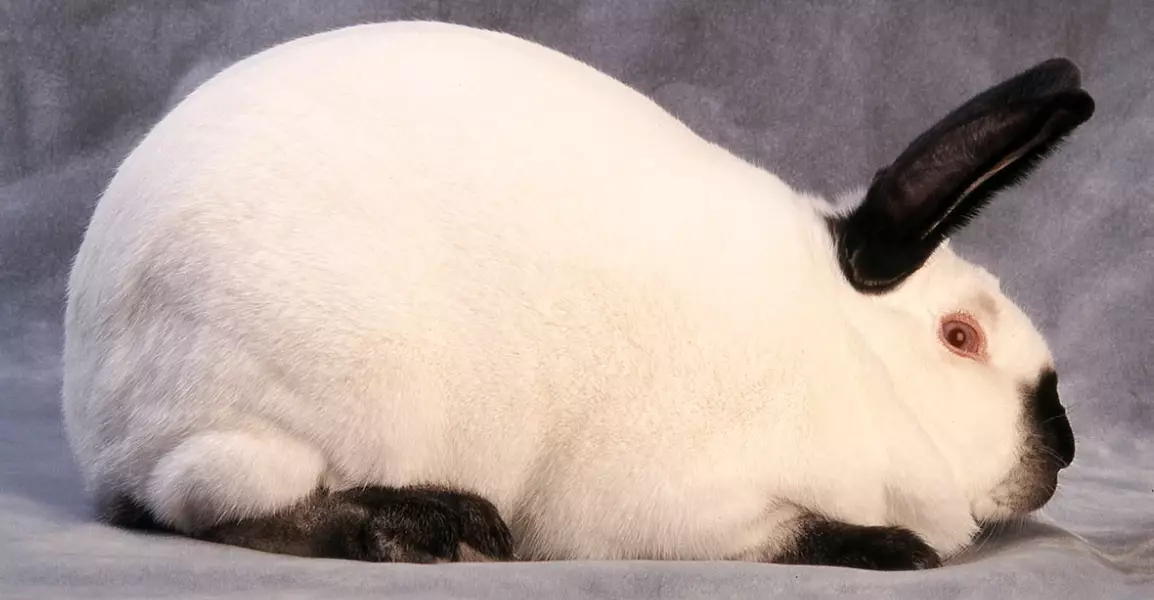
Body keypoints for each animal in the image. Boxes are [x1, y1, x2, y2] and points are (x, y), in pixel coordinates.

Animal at [61, 21, 1092, 570]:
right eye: (960, 337)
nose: (1065, 445)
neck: (848, 351)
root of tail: (95, 407)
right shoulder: (677, 501)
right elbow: (789, 531)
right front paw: (895, 549)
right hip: (318, 397)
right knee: (207, 501)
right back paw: (432, 526)